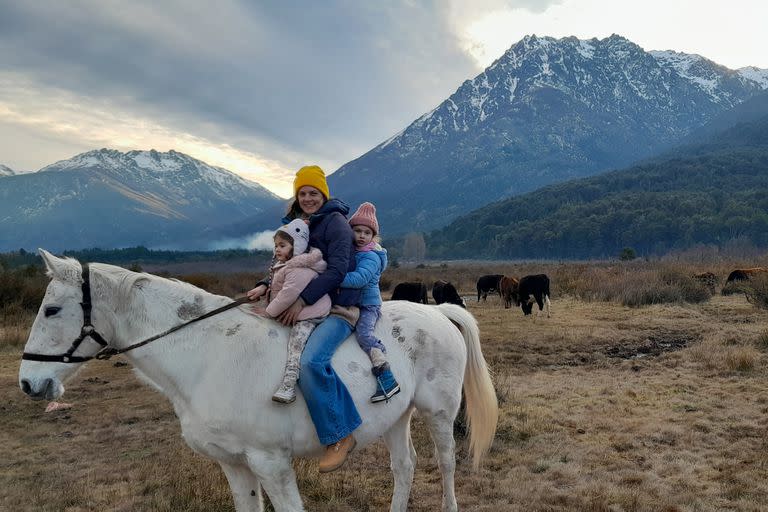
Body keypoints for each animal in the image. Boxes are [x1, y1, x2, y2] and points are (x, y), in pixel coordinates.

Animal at [19, 252, 498, 512]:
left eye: (51, 310)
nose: (28, 382)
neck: (207, 356)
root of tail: (438, 313)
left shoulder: (272, 463)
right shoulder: (234, 464)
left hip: (438, 413)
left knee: (446, 463)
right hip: (395, 417)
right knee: (405, 467)